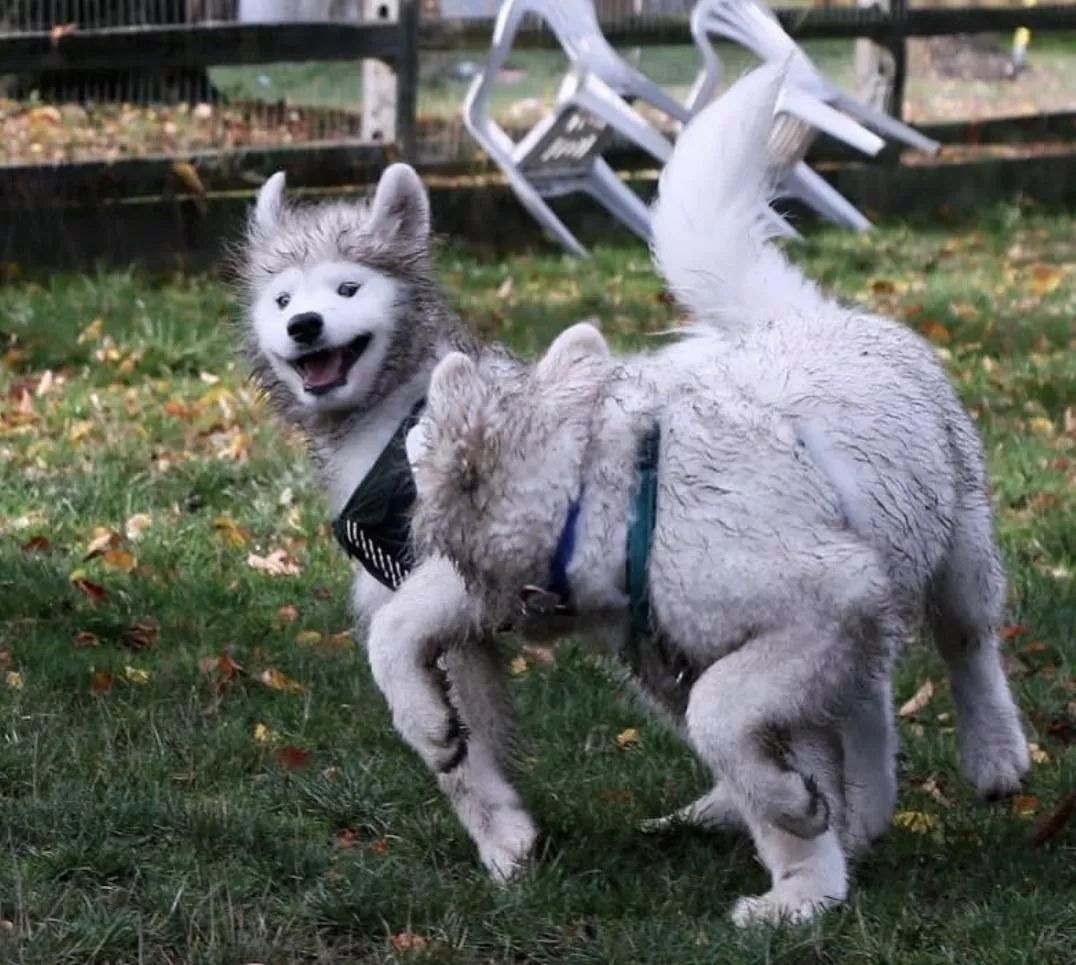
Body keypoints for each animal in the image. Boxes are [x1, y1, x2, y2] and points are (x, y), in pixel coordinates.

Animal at [239, 64, 1028, 920]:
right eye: (281, 300)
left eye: (348, 287)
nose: (305, 325)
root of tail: (801, 314)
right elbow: (443, 721)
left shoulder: (811, 600)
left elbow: (719, 714)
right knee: (860, 699)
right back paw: (848, 812)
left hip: (956, 555)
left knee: (967, 645)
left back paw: (993, 753)